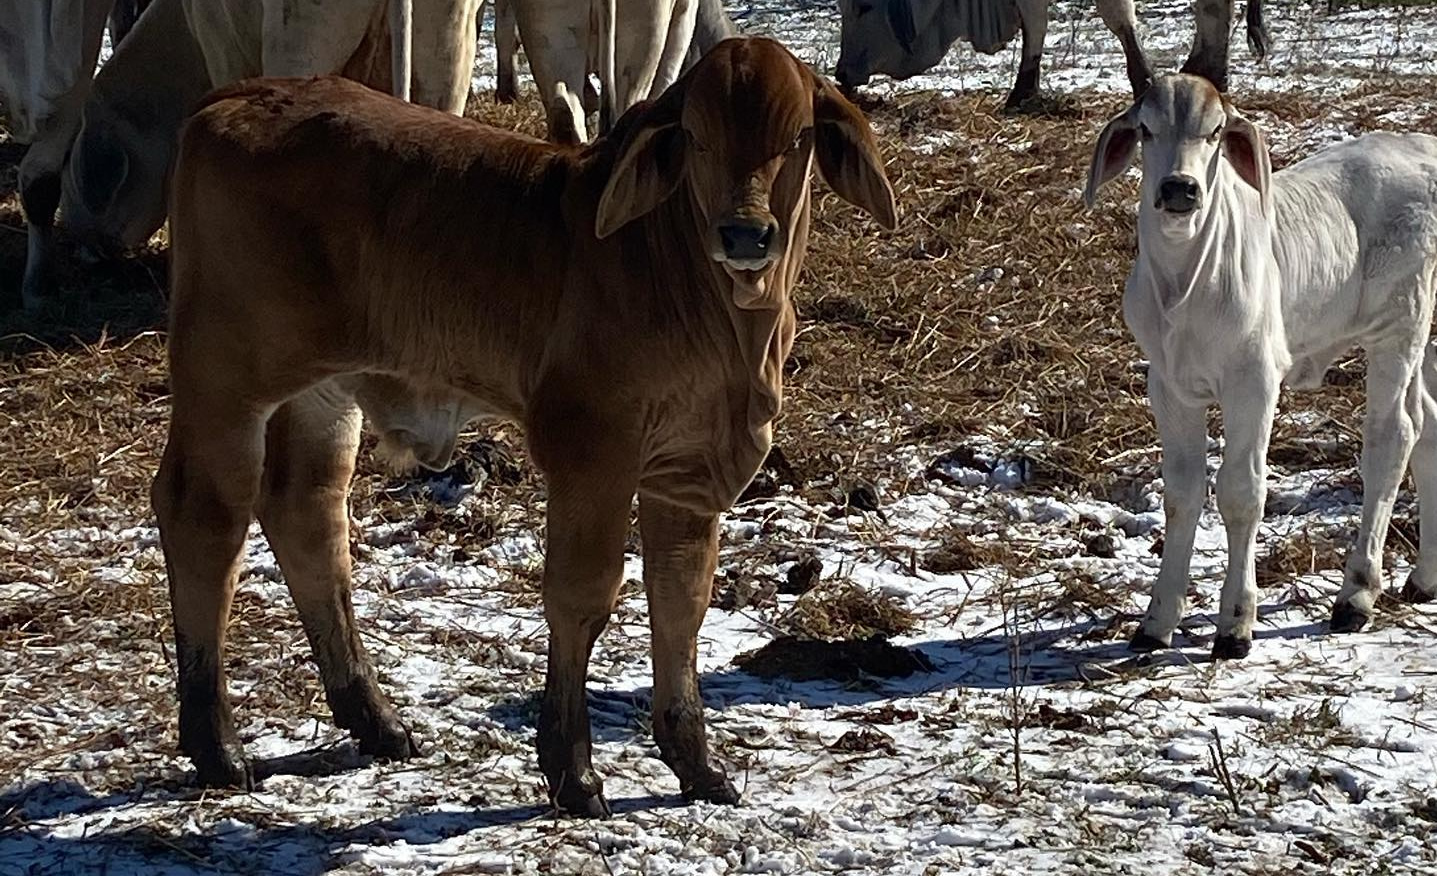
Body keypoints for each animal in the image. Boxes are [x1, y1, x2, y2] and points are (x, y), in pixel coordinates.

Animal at [157, 34, 896, 809]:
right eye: (697, 136)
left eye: (799, 135)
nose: (745, 233)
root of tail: (238, 95)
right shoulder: (591, 450)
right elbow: (583, 597)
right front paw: (572, 768)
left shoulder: (690, 470)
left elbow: (680, 603)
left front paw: (696, 764)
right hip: (224, 379)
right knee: (204, 519)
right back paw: (218, 746)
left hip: (323, 391)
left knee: (306, 514)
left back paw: (377, 721)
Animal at [839, 0, 1270, 109]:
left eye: (863, 7)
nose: (843, 74)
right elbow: (1036, 25)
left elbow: (1118, 18)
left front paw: (1143, 80)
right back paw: (1205, 70)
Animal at [1080, 75, 1437, 657]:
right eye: (1146, 129)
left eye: (1216, 132)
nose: (1180, 189)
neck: (1184, 286)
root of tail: (1422, 145)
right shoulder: (1168, 387)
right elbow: (1181, 493)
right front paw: (1157, 621)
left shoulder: (1254, 381)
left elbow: (1241, 492)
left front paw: (1235, 624)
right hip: (1426, 331)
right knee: (1428, 425)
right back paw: (1424, 577)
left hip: (1398, 326)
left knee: (1394, 437)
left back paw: (1356, 594)